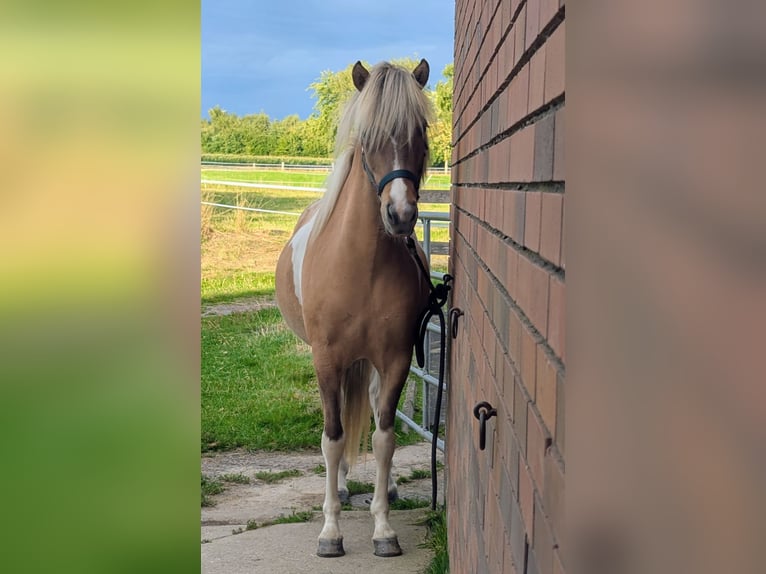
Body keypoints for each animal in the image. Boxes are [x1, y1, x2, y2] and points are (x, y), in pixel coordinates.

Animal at [275, 59, 433, 558]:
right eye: (368, 135)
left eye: (420, 129)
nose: (400, 215)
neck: (360, 267)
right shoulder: (326, 359)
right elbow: (333, 437)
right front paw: (330, 531)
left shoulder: (396, 359)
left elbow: (384, 437)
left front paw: (383, 528)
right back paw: (341, 487)